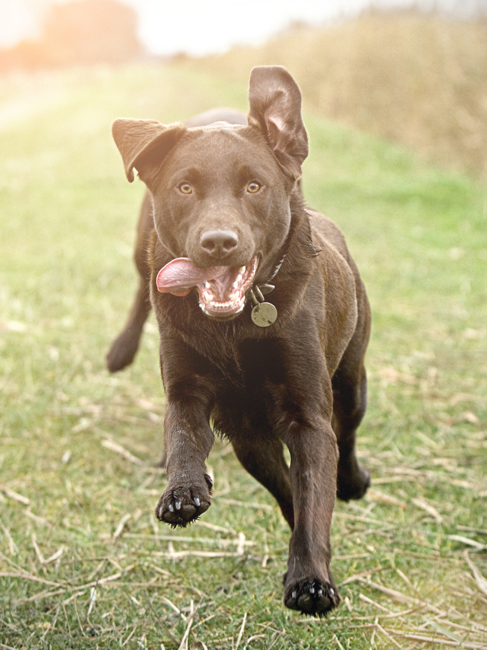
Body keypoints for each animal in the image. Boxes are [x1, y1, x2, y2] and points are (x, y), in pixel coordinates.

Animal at [108, 66, 372, 612]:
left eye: (254, 186)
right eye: (185, 187)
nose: (218, 243)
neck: (237, 326)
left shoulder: (308, 417)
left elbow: (315, 488)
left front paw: (311, 577)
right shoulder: (195, 395)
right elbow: (184, 437)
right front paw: (183, 490)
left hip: (351, 380)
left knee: (349, 432)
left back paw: (354, 482)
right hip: (250, 435)